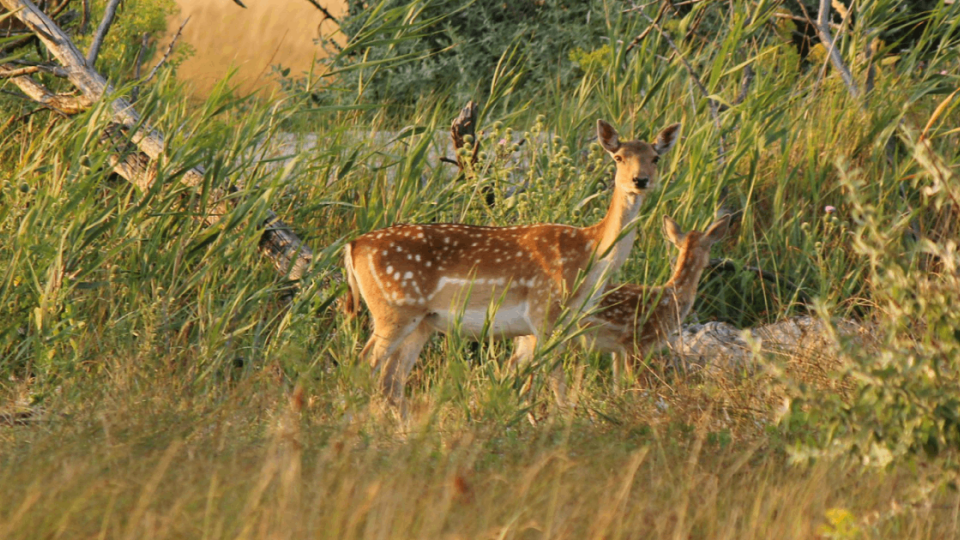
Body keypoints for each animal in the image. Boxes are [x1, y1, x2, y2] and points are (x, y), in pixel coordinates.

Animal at [344, 118, 684, 404]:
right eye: (618, 158)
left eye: (655, 157)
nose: (640, 180)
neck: (590, 257)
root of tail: (352, 246)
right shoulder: (544, 312)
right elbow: (556, 385)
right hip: (394, 309)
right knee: (362, 367)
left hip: (422, 321)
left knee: (391, 379)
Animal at [580, 213, 732, 390]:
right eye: (710, 246)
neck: (673, 295)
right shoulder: (637, 342)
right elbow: (640, 386)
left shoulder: (618, 348)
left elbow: (617, 386)